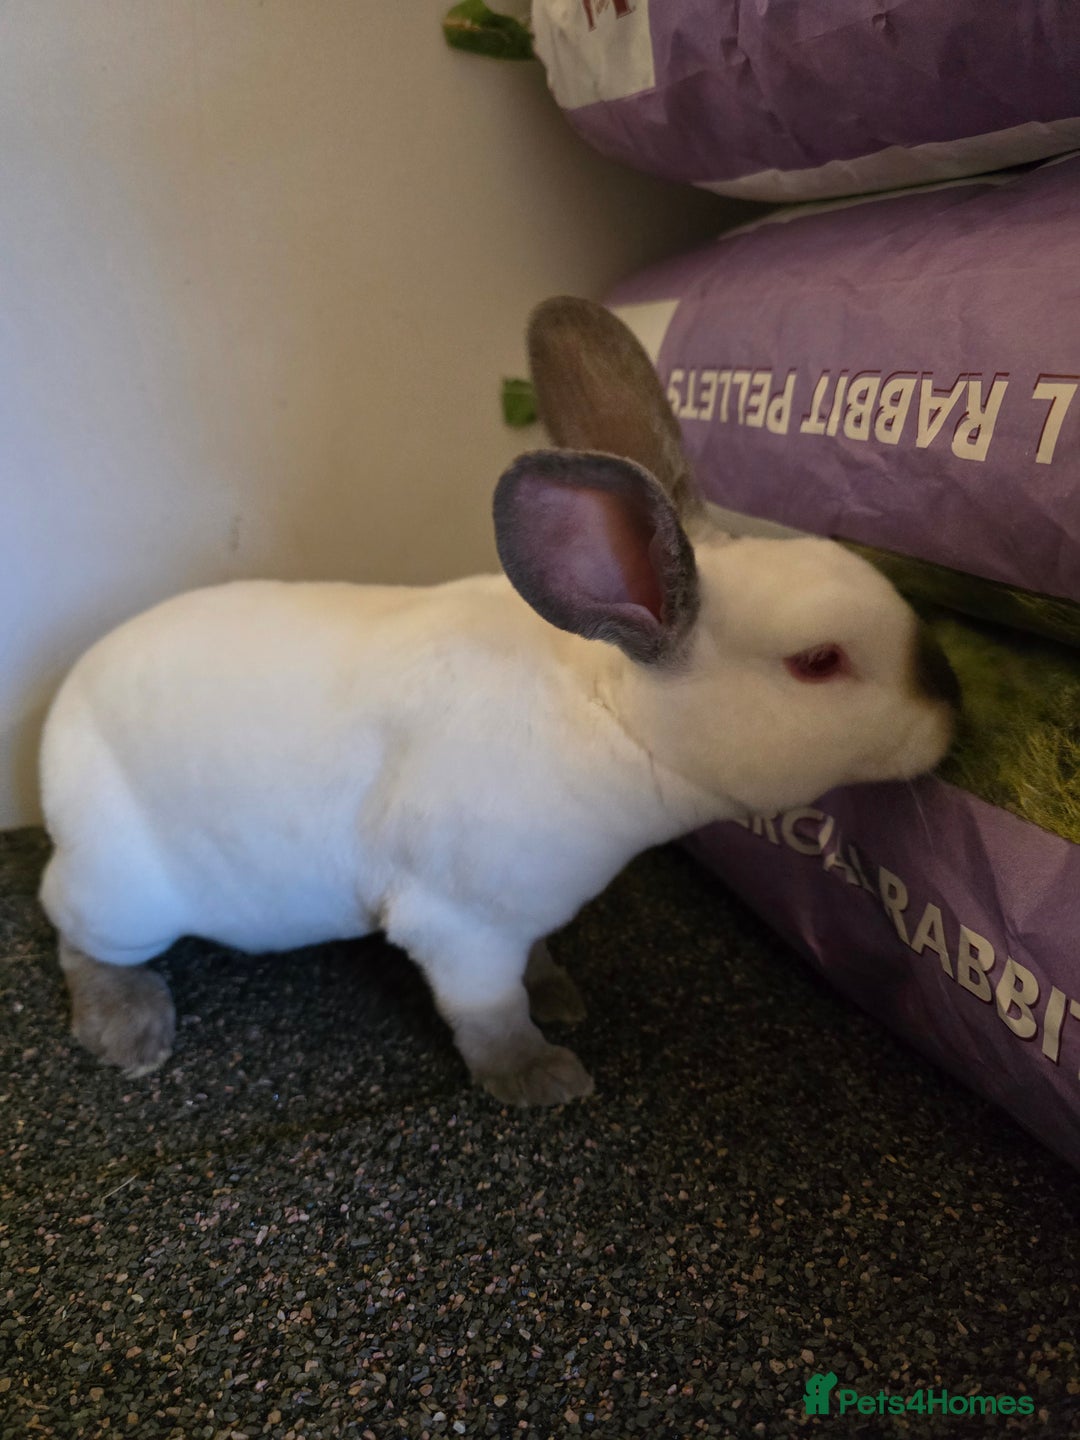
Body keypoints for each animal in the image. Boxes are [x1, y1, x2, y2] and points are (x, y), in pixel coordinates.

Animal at [38, 296, 959, 1105]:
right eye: (818, 662)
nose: (952, 710)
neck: (610, 715)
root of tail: (58, 721)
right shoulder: (458, 928)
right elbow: (489, 1012)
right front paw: (541, 1077)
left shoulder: (520, 915)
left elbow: (535, 963)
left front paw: (561, 995)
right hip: (126, 893)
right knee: (69, 927)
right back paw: (128, 1030)